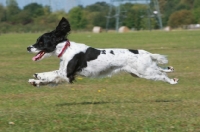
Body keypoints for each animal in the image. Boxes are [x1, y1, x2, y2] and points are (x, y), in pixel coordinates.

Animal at [26, 17, 178, 86]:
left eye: (41, 42)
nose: (28, 47)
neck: (66, 49)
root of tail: (146, 53)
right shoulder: (65, 75)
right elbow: (51, 78)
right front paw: (36, 81)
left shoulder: (67, 74)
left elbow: (52, 73)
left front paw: (38, 75)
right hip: (140, 72)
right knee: (161, 69)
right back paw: (170, 69)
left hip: (145, 72)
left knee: (162, 75)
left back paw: (173, 80)